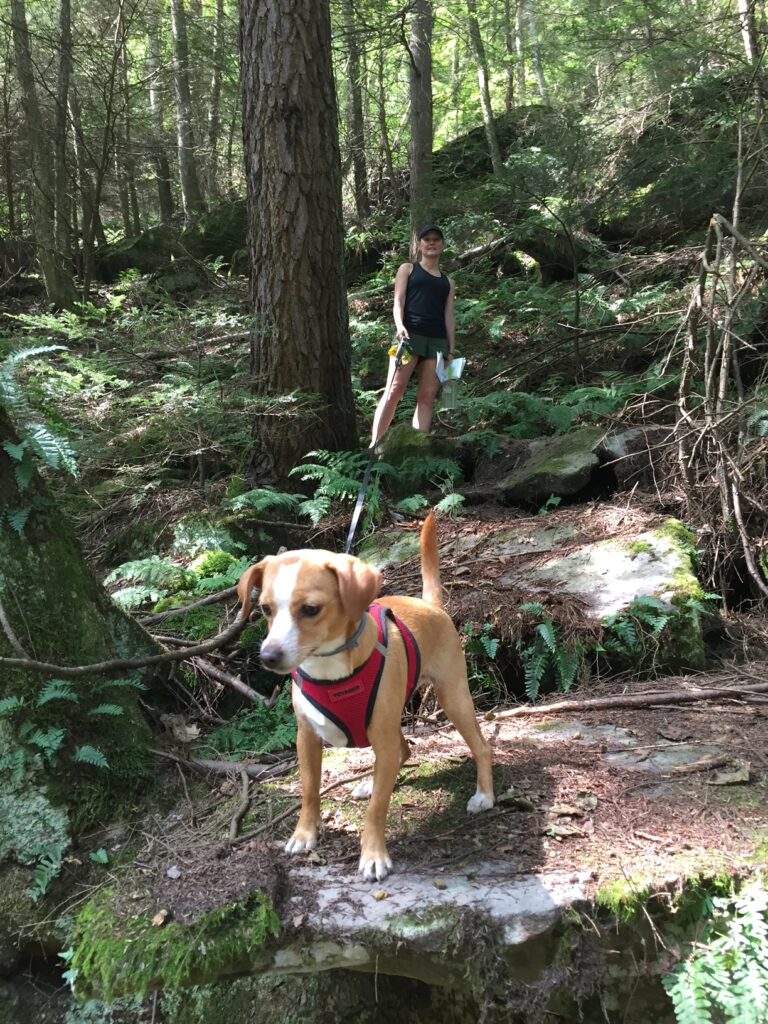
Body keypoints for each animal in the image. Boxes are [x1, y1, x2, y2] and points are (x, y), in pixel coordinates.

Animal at [237, 512, 495, 880]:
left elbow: (377, 810)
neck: (330, 670)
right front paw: (304, 833)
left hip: (453, 698)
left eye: (311, 609)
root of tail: (428, 603)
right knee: (403, 751)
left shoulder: (381, 737)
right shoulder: (307, 738)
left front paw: (373, 854)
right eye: (266, 609)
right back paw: (372, 783)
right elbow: (309, 790)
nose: (269, 657)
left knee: (480, 748)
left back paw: (484, 794)